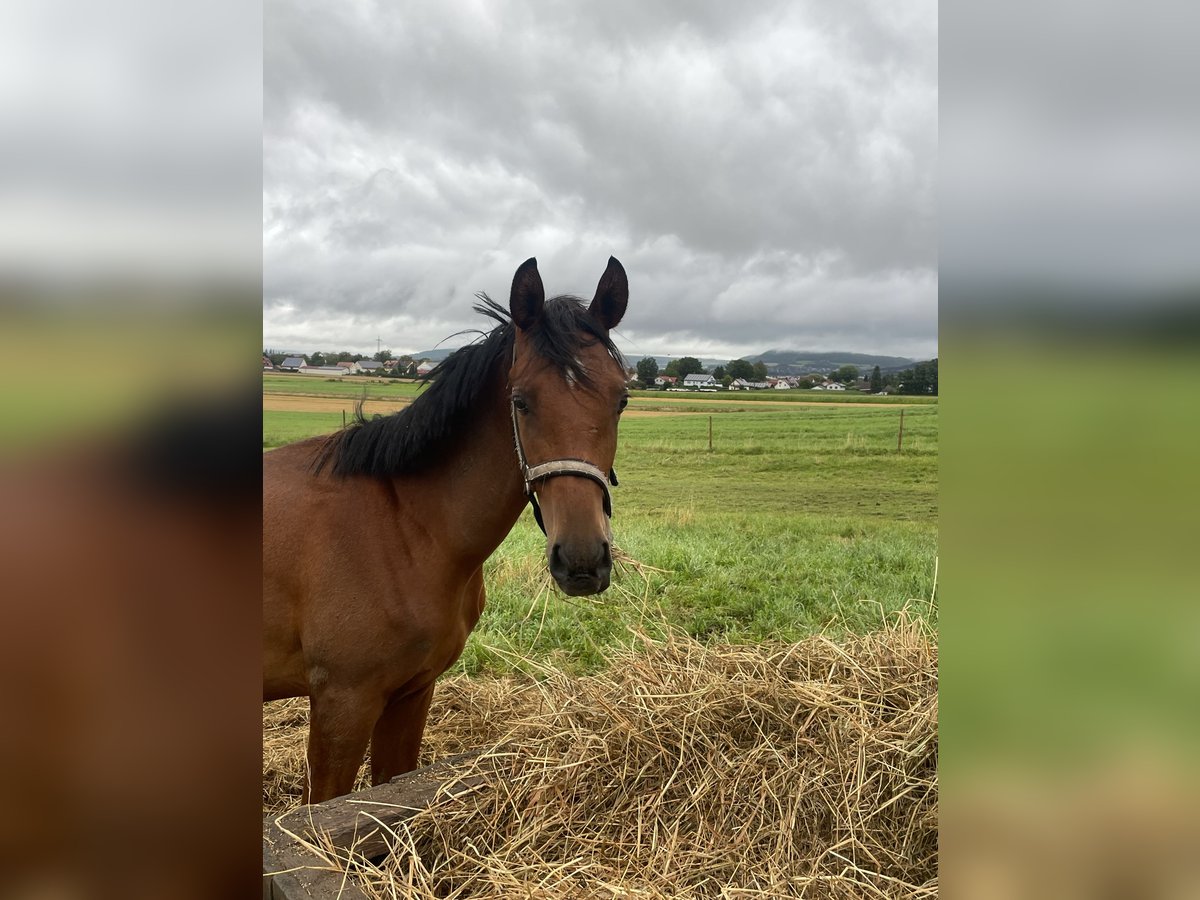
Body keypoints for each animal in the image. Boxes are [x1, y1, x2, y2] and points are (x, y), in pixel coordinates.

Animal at [264, 254, 633, 801]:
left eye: (621, 399)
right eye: (521, 401)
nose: (583, 560)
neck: (405, 528)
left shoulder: (412, 693)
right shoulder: (341, 704)